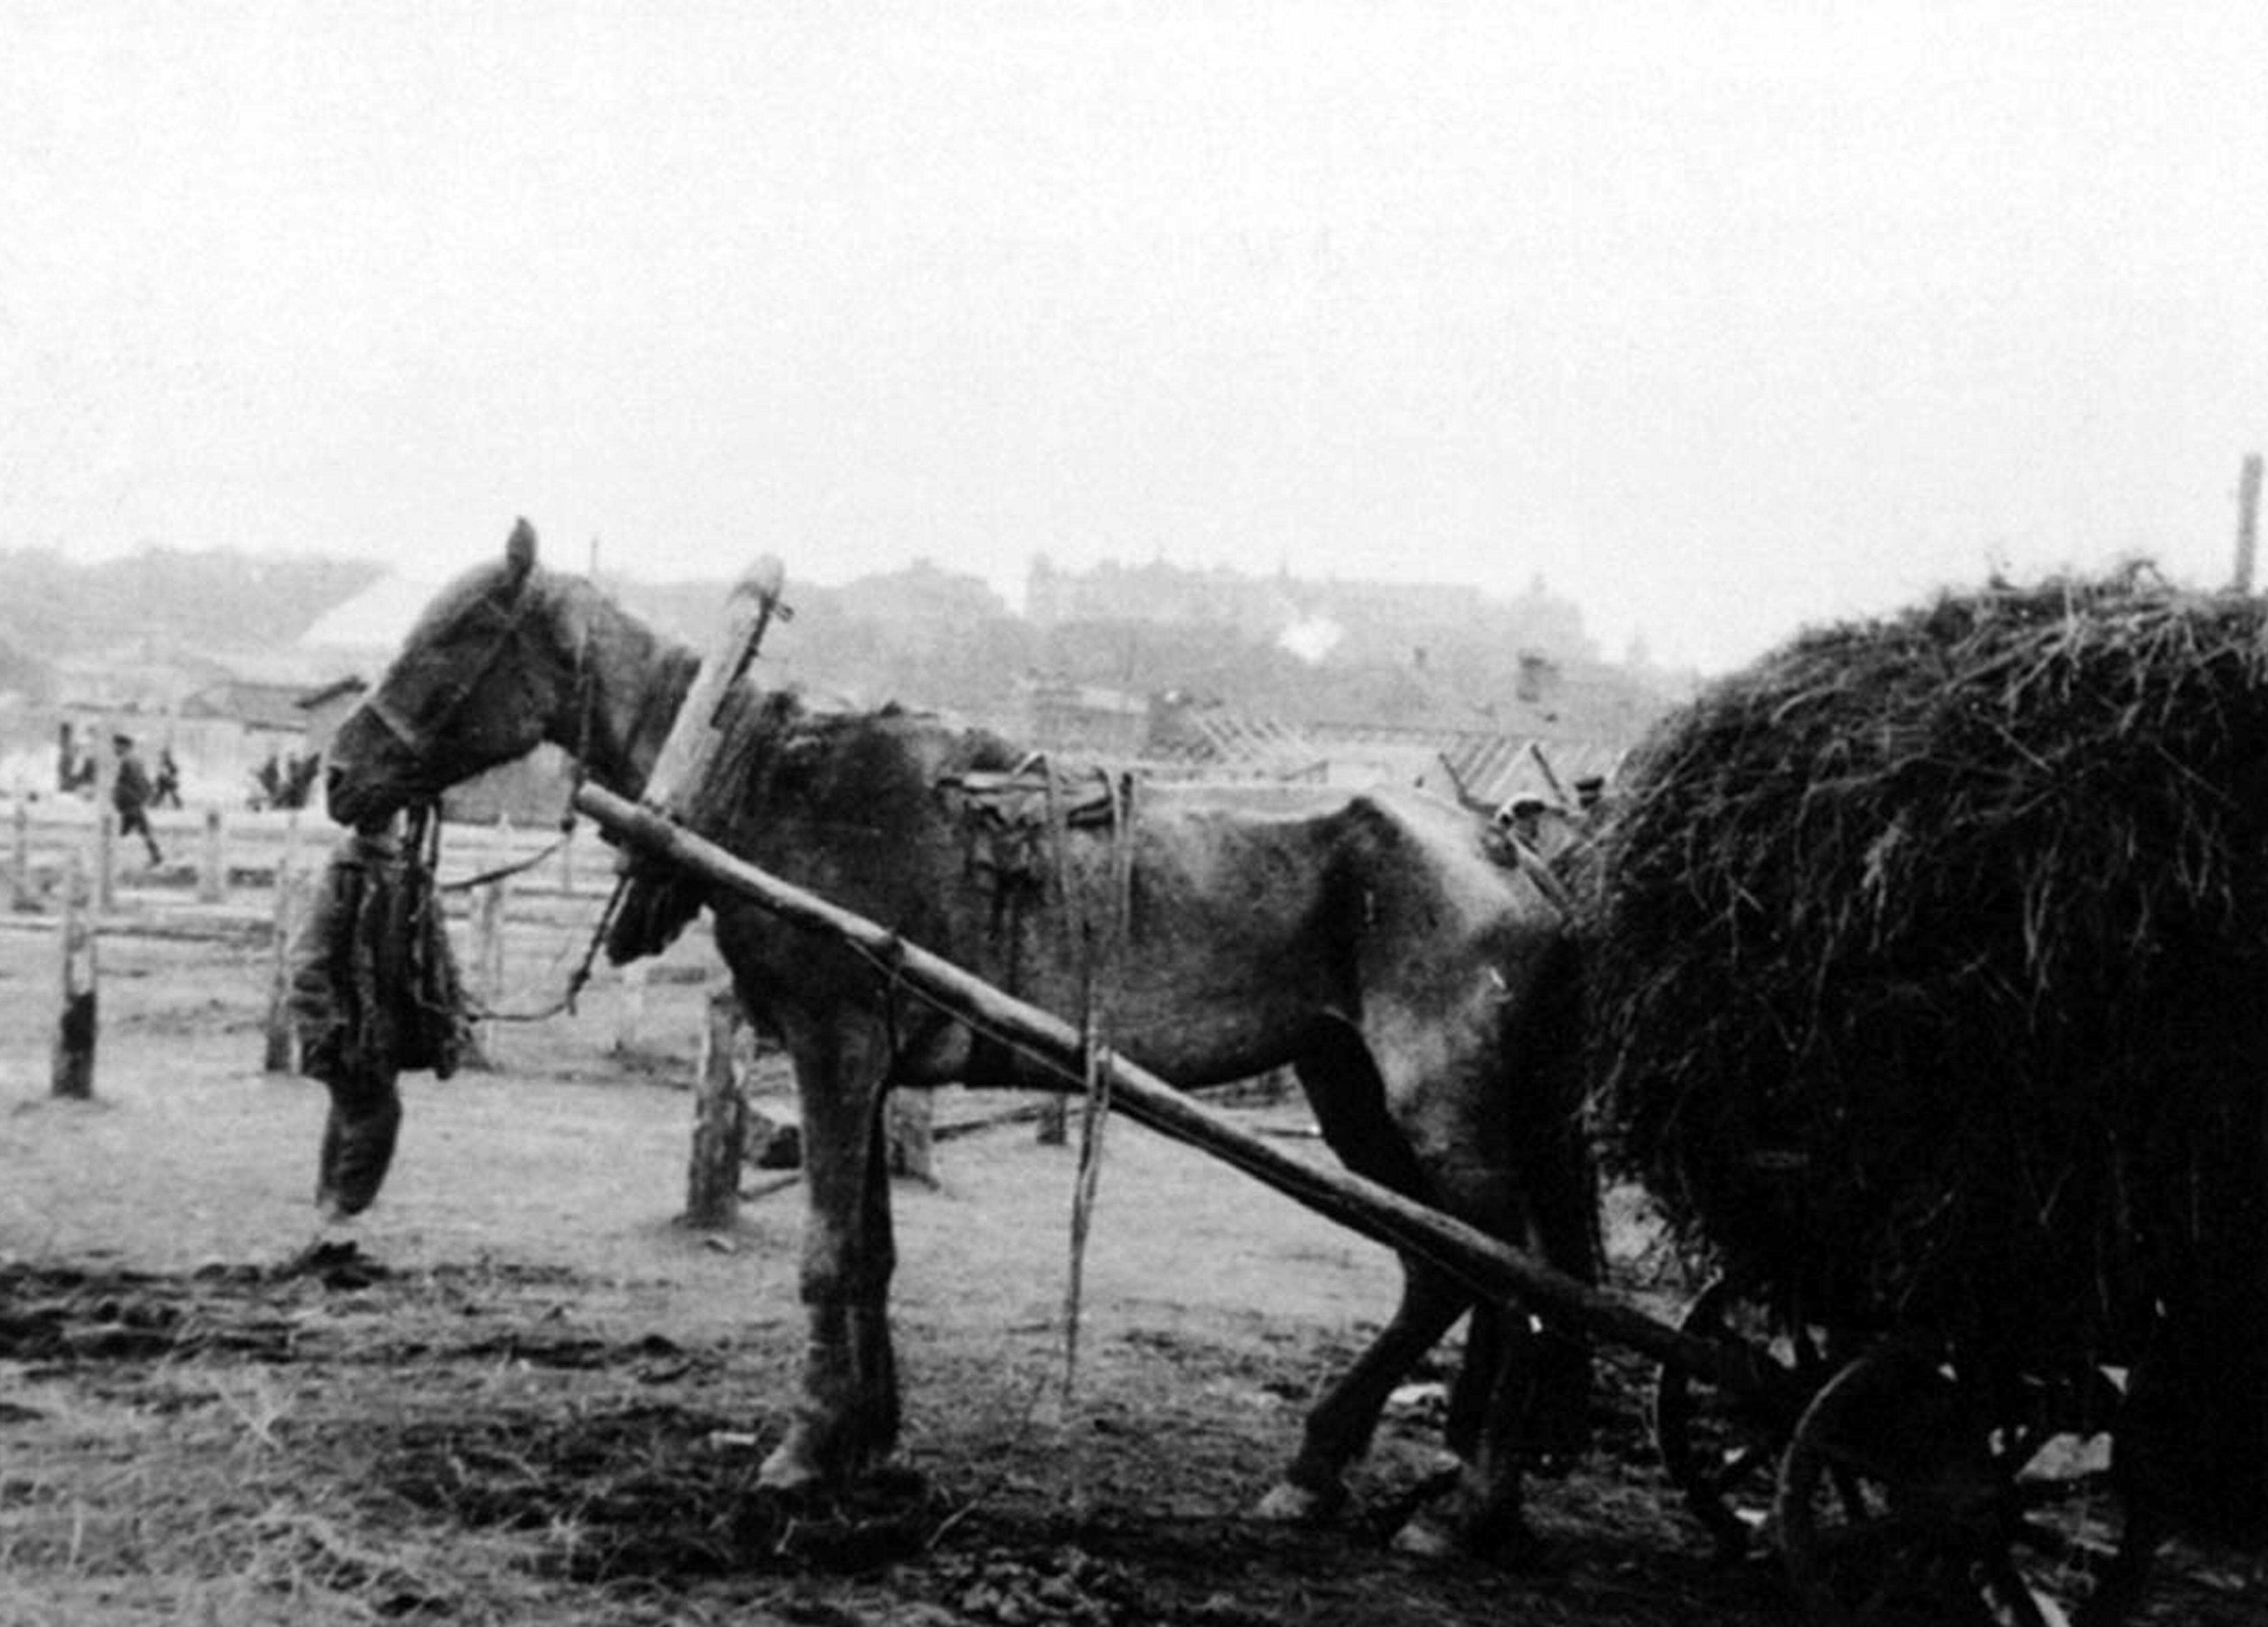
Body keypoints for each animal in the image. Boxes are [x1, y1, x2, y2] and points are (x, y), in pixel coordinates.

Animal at [320, 523, 1605, 1568]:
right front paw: (872, 1444)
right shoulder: (866, 1064)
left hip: (1442, 1109)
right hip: (1352, 1093)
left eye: (461, 634)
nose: (339, 772)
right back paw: (1319, 1467)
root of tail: (1509, 854)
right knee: (1441, 1268)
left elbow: (829, 1256)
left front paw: (801, 1453)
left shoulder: (834, 1047)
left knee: (1517, 1276)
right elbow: (875, 1255)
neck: (764, 781)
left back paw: (1469, 1506)